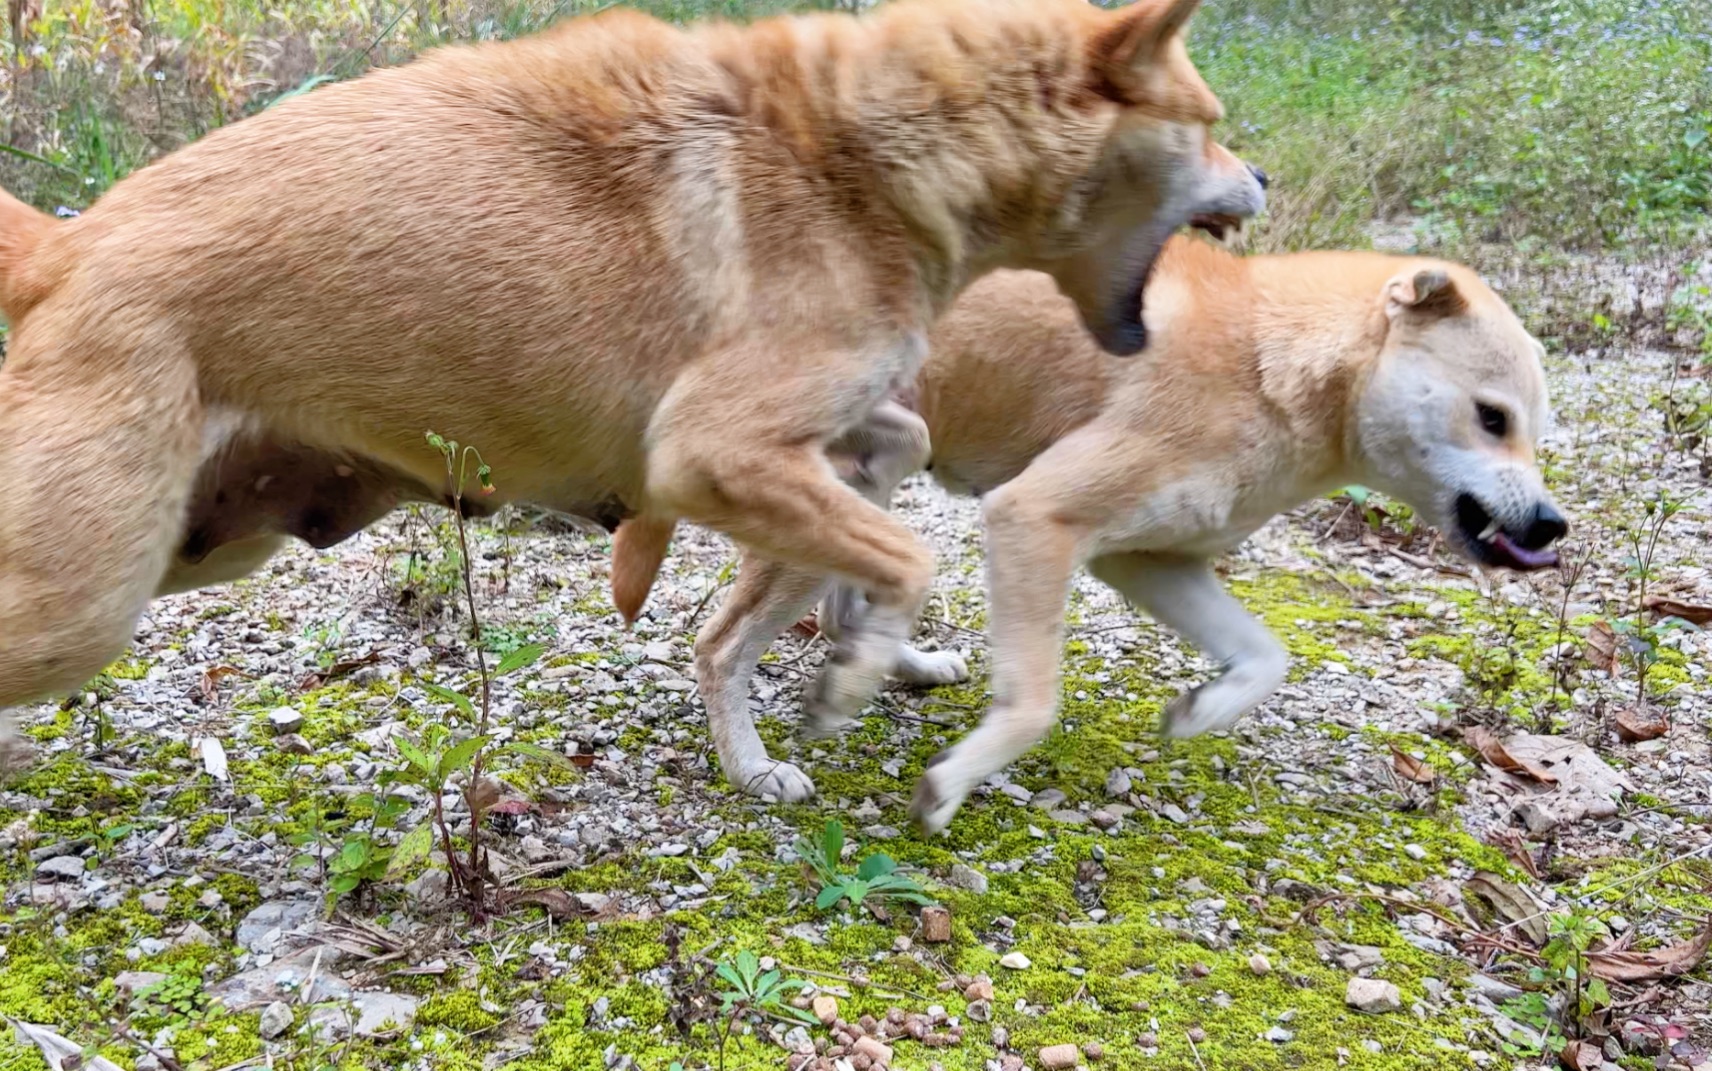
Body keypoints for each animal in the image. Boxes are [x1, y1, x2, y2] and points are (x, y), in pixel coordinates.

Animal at [0, 0, 1266, 763]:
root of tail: (69, 245)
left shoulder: (820, 434)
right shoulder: (710, 452)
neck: (865, 158)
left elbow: (892, 464)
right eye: (1207, 122)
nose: (1255, 175)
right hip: (87, 599)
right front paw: (849, 676)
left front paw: (862, 639)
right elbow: (901, 556)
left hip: (206, 544)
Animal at [612, 232, 1568, 821]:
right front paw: (950, 783)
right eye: (1492, 417)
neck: (1269, 363)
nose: (1553, 525)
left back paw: (892, 662)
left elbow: (1267, 657)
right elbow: (1035, 703)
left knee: (853, 600)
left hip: (870, 482)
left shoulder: (1149, 558)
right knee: (721, 647)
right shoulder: (1035, 519)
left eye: (1535, 426)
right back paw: (753, 764)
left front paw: (1201, 711)